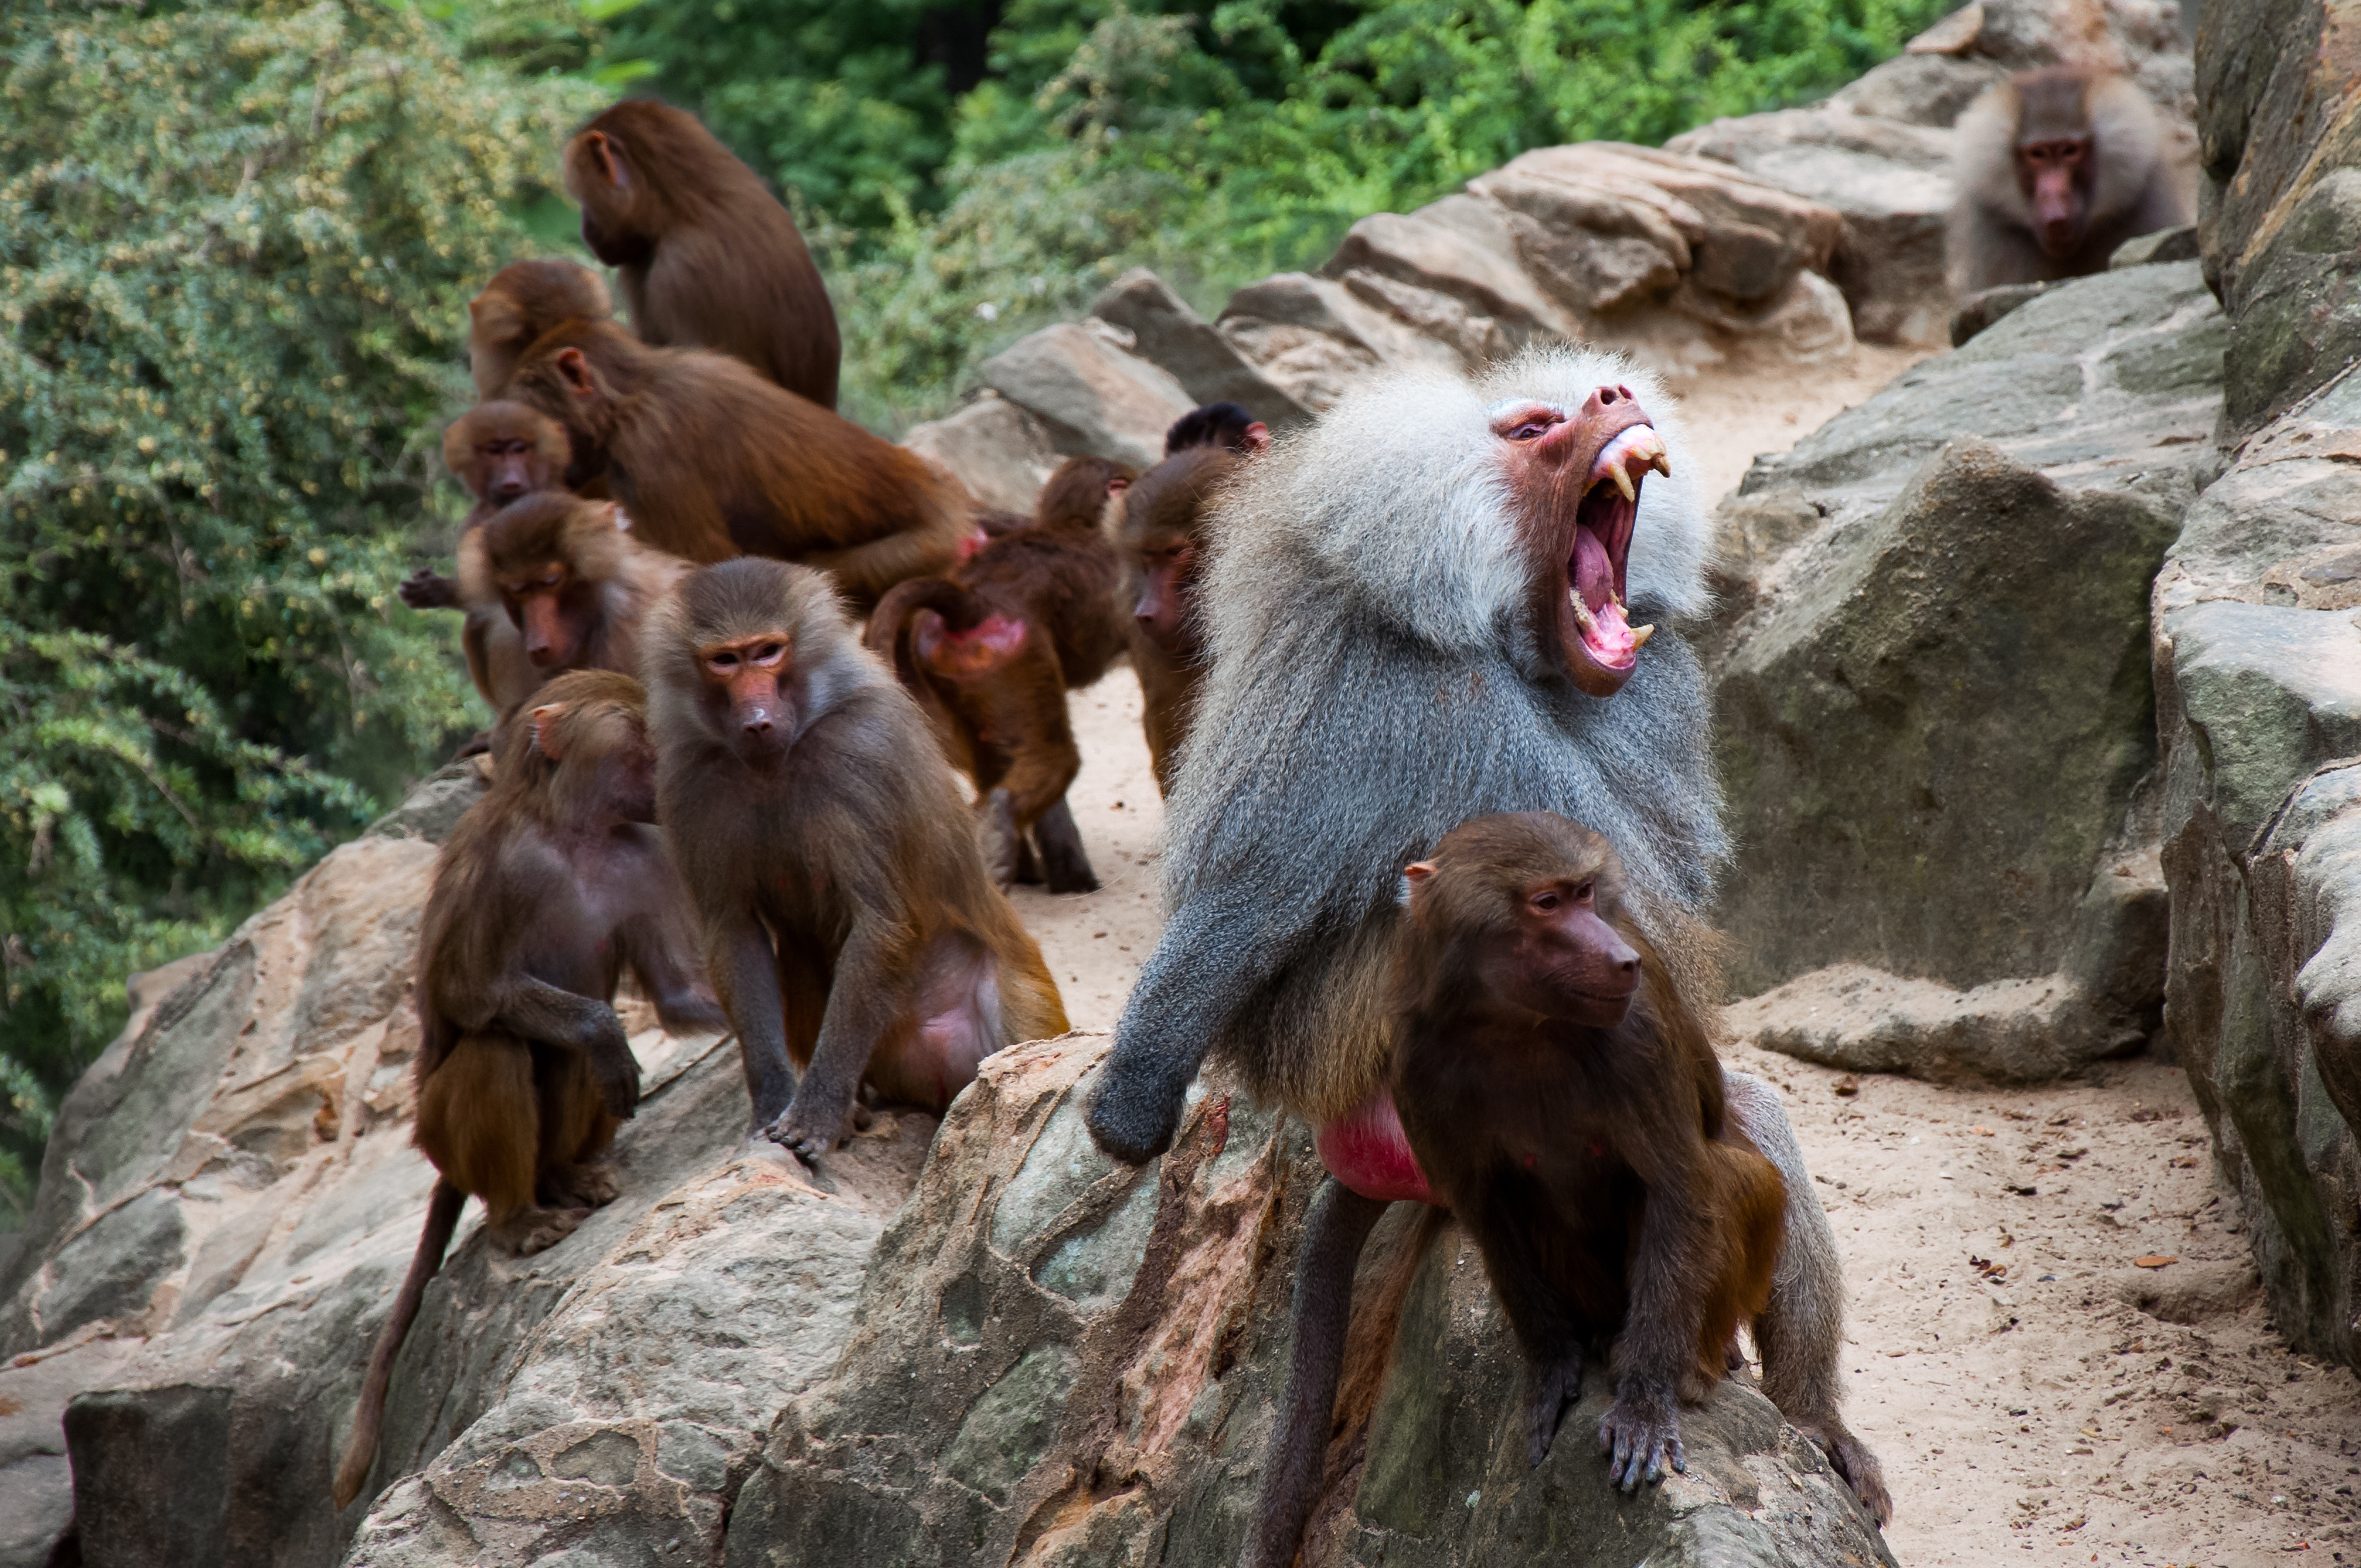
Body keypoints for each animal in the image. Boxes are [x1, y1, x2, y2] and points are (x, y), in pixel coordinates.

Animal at [331, 670, 724, 1512]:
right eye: (637, 734)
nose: (668, 773)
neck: (573, 833)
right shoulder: (497, 863)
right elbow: (469, 993)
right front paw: (602, 1031)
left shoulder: (647, 854)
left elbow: (678, 995)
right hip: (437, 1131)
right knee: (506, 1047)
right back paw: (520, 1218)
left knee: (572, 1061)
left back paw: (569, 1176)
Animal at [643, 557, 1070, 1162]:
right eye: (724, 660)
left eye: (768, 651)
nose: (757, 721)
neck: (778, 759)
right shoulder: (689, 780)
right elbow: (735, 931)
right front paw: (773, 1106)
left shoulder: (864, 753)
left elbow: (881, 922)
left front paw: (814, 1116)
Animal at [864, 456, 1133, 893]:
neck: (1076, 526)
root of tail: (969, 605)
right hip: (1012, 655)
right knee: (1053, 760)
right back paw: (999, 826)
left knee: (996, 760)